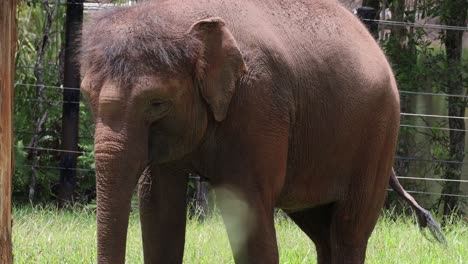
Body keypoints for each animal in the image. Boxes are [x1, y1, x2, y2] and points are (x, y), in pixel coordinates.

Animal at [80, 0, 446, 264]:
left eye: (157, 103)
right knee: (320, 229)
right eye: (86, 96)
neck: (185, 18)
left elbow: (248, 209)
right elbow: (158, 206)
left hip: (378, 135)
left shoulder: (258, 104)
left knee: (348, 230)